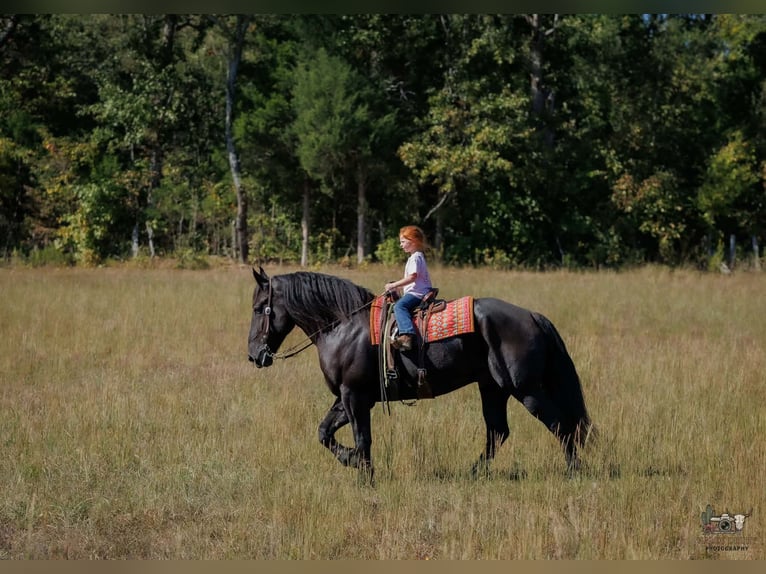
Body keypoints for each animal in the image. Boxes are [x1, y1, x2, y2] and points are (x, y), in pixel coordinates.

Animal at [247, 267, 592, 482]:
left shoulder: (354, 396)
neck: (342, 327)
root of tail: (532, 316)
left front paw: (363, 474)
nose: (254, 355)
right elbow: (324, 432)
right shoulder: (348, 398)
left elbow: (361, 438)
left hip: (526, 390)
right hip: (493, 388)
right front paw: (352, 461)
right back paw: (474, 473)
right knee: (498, 432)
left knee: (560, 425)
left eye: (259, 308)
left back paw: (574, 472)